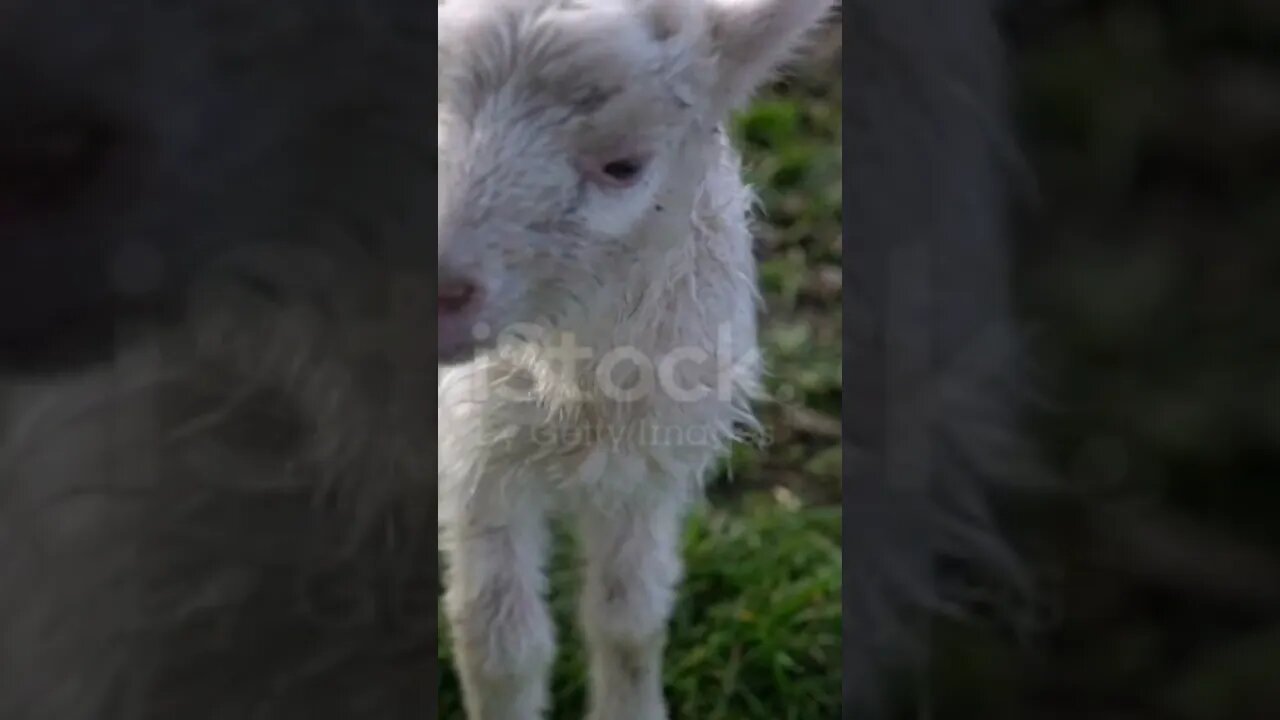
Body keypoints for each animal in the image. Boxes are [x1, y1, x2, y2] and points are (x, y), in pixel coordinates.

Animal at [436, 0, 836, 718]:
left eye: (623, 166)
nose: (436, 286)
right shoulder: (475, 453)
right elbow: (500, 645)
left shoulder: (644, 467)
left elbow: (630, 619)